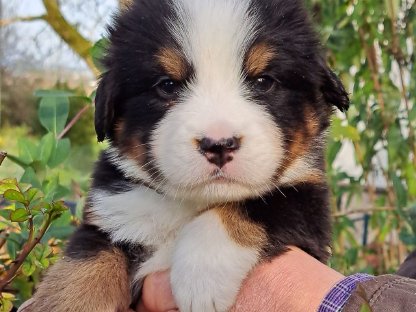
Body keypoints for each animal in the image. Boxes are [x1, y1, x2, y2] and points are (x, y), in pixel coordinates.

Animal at [27, 0, 350, 312]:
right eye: (167, 85)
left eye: (264, 81)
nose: (218, 145)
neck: (188, 206)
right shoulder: (111, 214)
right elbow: (83, 265)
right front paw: (63, 301)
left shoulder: (311, 206)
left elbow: (255, 205)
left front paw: (202, 276)